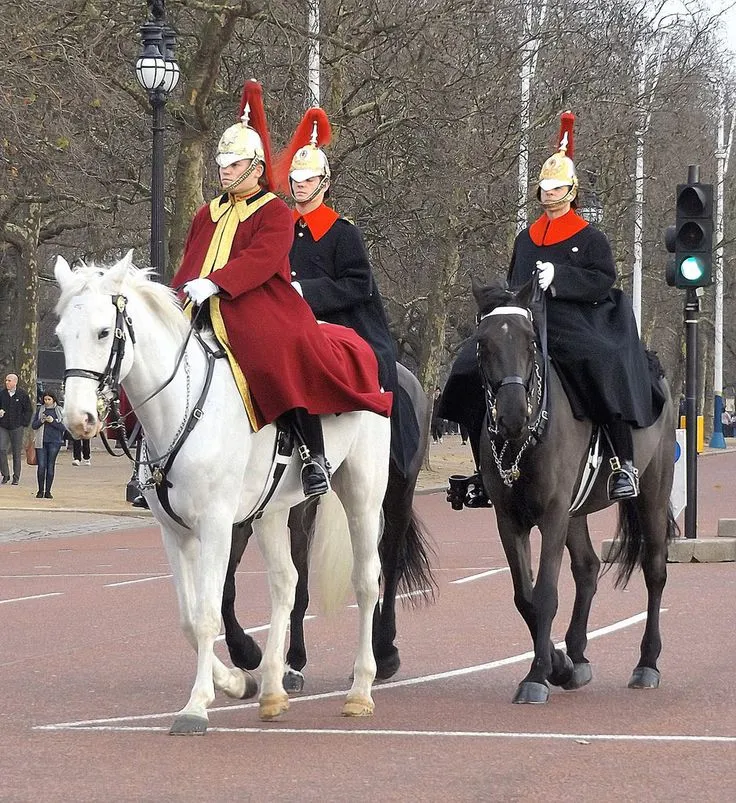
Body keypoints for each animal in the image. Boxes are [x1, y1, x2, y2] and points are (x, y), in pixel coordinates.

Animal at [54, 253, 394, 736]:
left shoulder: (216, 525)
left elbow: (209, 613)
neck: (181, 407)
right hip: (271, 510)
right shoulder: (175, 532)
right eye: (61, 334)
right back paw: (271, 690)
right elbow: (189, 618)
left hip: (363, 491)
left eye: (104, 332)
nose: (77, 419)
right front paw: (237, 681)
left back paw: (360, 690)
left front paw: (197, 706)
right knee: (285, 582)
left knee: (366, 581)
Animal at [221, 364, 434, 692]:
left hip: (397, 491)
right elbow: (226, 585)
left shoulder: (299, 508)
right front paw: (246, 651)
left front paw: (293, 662)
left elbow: (299, 580)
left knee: (389, 564)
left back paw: (385, 654)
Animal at [474, 276, 676, 704]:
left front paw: (536, 676)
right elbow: (525, 597)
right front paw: (558, 664)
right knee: (587, 567)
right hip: (576, 511)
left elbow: (546, 594)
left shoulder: (552, 513)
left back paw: (646, 664)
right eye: (482, 343)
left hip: (653, 489)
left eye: (531, 341)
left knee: (654, 569)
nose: (512, 416)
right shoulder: (509, 519)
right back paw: (577, 657)